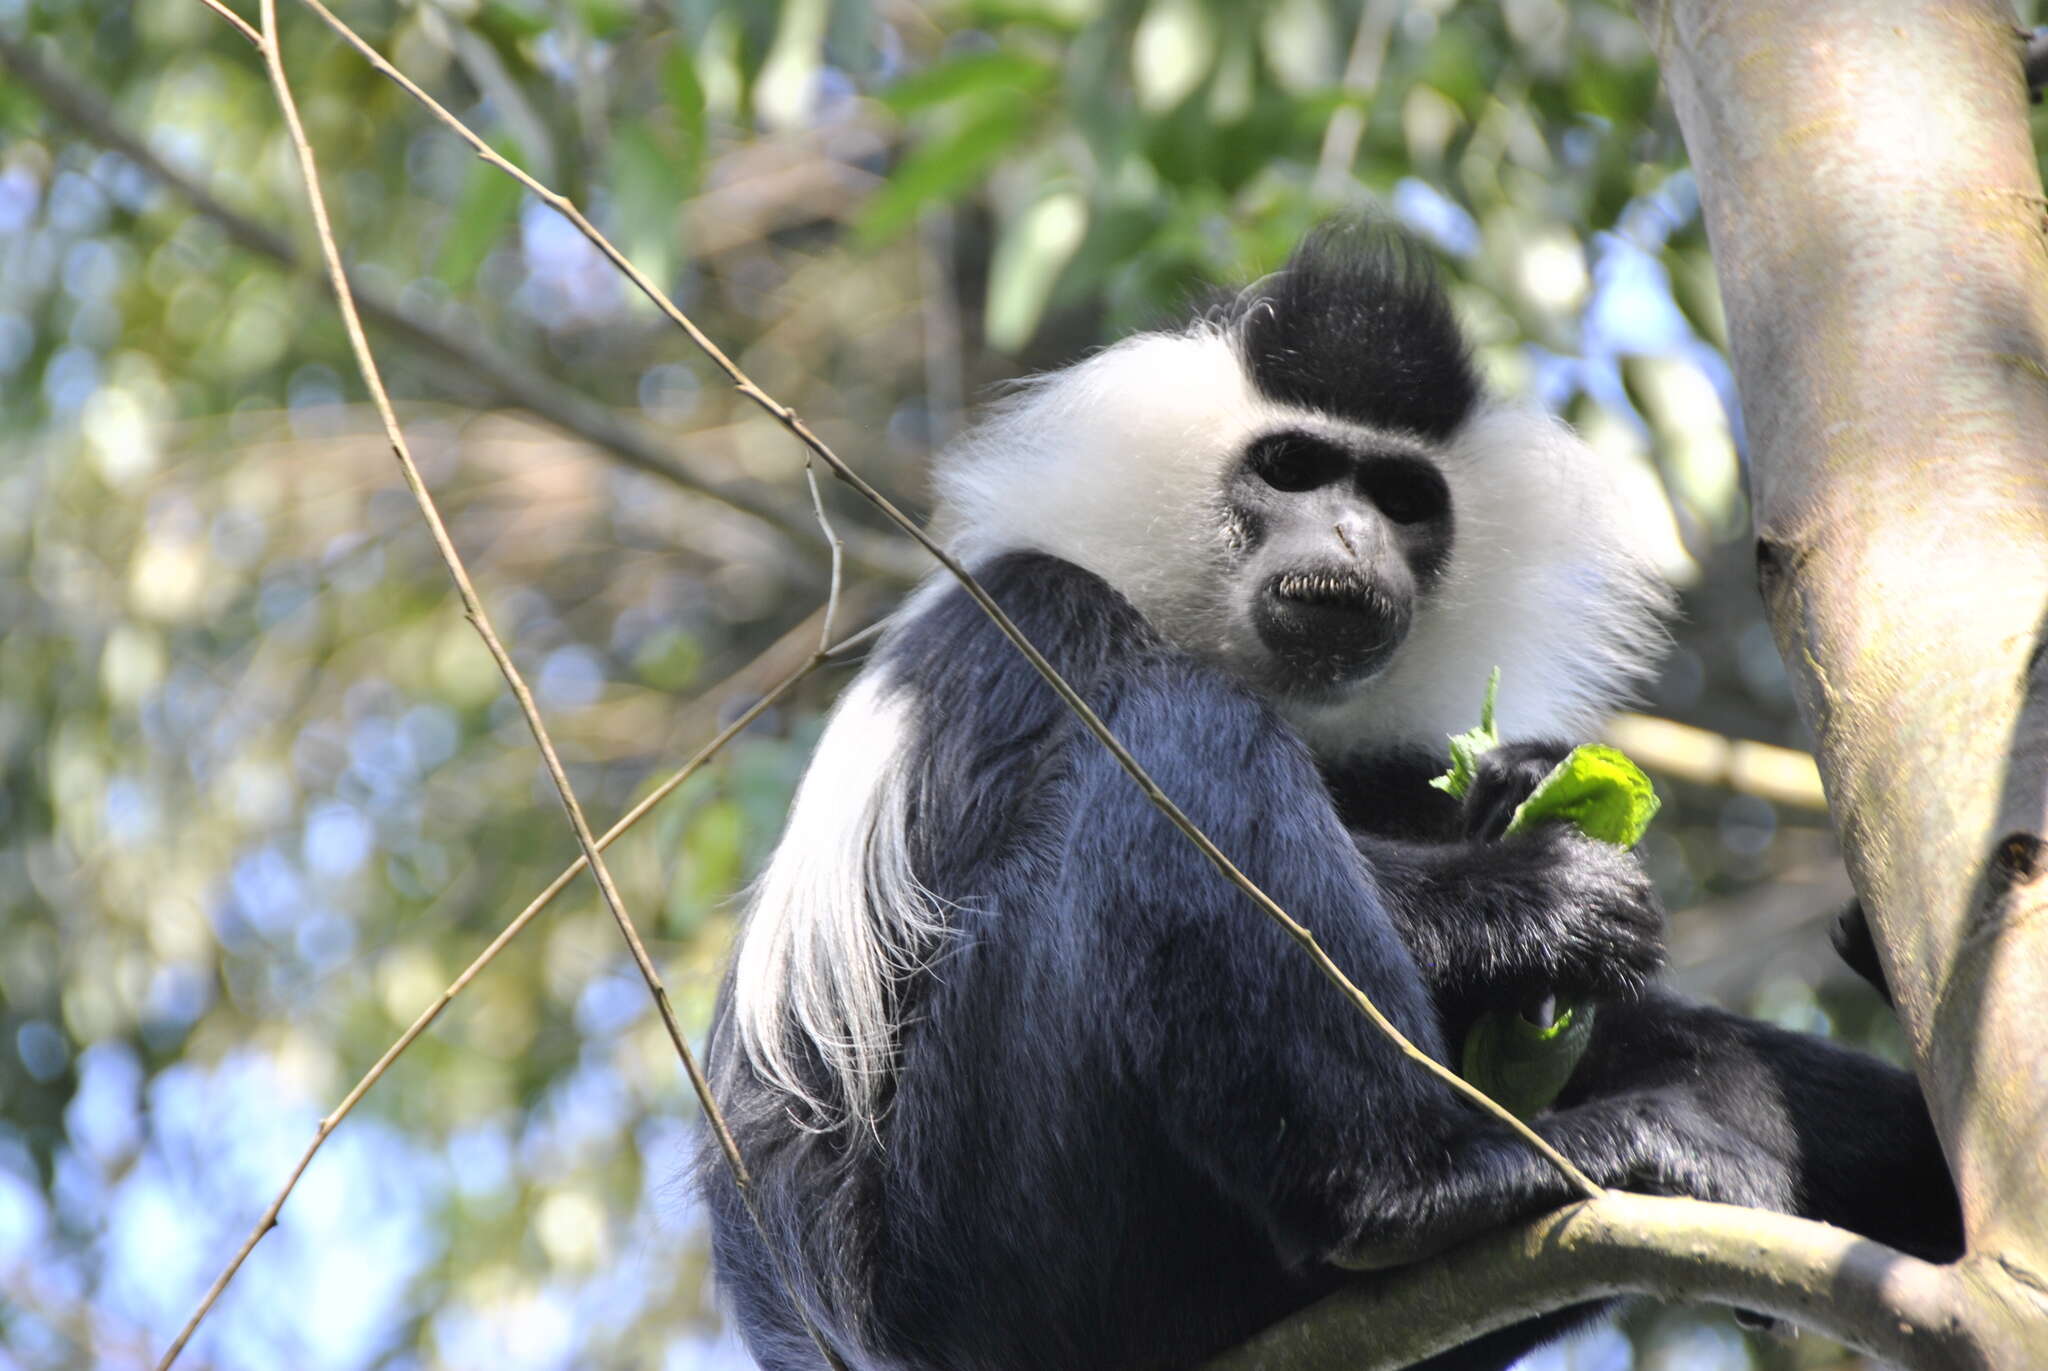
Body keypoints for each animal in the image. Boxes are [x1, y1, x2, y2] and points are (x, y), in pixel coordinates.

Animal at [696, 224, 1957, 1368]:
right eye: (1292, 470)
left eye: (1399, 496)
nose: (1350, 533)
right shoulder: (1034, 615)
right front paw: (1527, 892)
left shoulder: (1388, 754)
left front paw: (1521, 778)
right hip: (989, 1234)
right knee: (1183, 748)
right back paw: (1435, 1185)